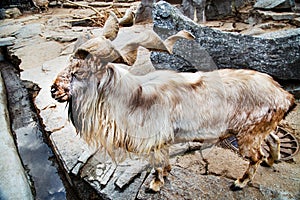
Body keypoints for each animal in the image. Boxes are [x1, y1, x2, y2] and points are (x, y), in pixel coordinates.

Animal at [50, 11, 294, 191]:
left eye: (79, 72)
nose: (53, 90)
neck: (134, 98)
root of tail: (284, 95)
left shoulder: (154, 140)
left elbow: (157, 165)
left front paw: (155, 185)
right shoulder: (162, 141)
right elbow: (164, 162)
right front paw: (165, 175)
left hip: (248, 136)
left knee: (256, 156)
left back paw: (240, 183)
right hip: (258, 130)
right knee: (274, 139)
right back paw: (273, 161)